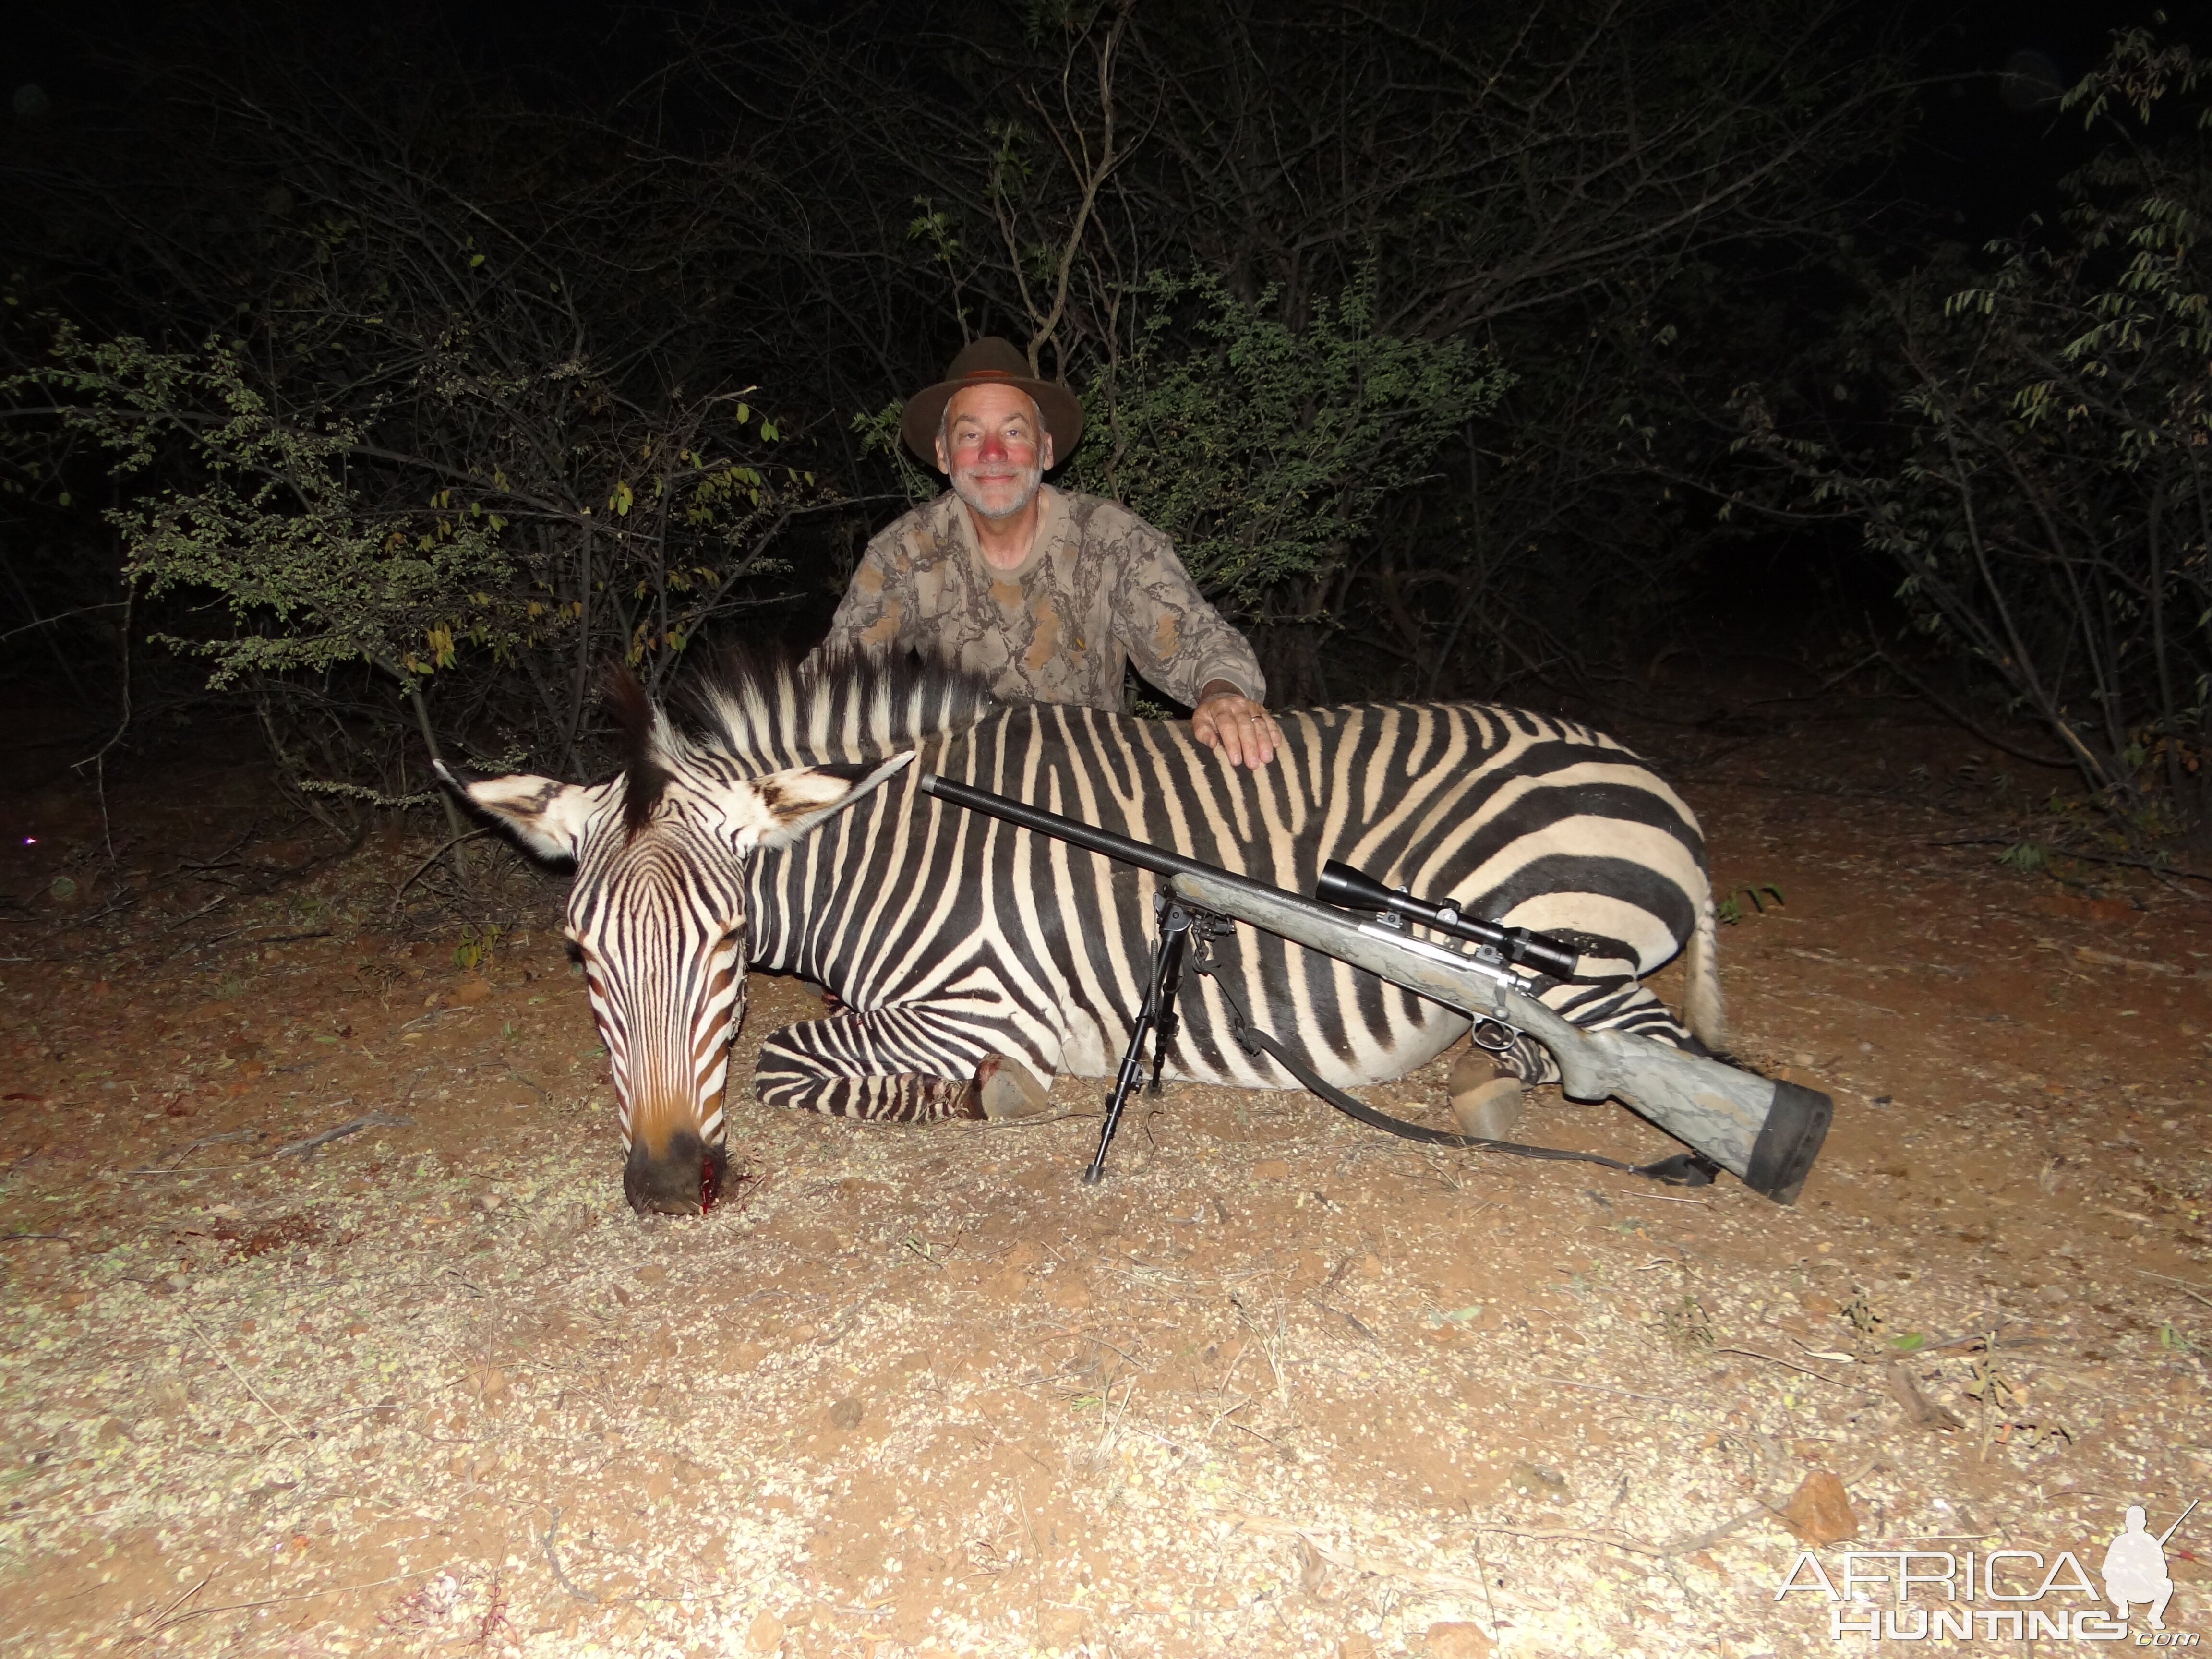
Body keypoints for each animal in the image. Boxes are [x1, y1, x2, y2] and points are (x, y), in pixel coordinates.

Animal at [445, 654, 1725, 1212]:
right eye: (583, 953)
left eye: (725, 939)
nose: (666, 1183)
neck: (892, 846)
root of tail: (1651, 779)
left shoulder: (975, 1004)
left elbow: (787, 1056)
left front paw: (992, 1096)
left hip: (1564, 953)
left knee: (1675, 1059)